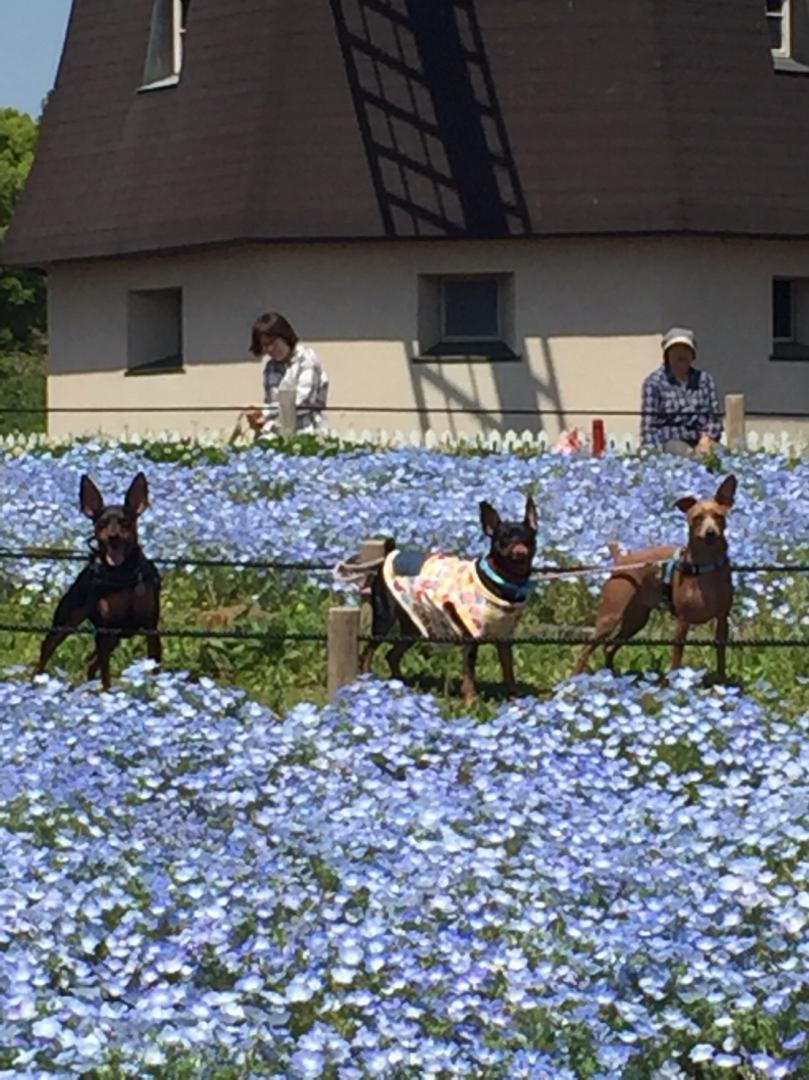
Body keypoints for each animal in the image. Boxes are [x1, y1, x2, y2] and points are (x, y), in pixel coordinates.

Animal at [34, 473, 162, 691]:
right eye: (101, 522)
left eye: (125, 522)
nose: (113, 537)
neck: (122, 574)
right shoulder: (105, 629)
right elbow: (106, 675)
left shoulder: (150, 627)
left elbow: (153, 667)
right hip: (66, 620)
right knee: (47, 648)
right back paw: (35, 682)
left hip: (115, 636)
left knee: (91, 663)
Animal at [360, 494, 535, 699]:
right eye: (503, 538)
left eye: (529, 538)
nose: (518, 545)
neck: (504, 580)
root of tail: (390, 554)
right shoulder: (470, 637)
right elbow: (469, 675)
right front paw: (471, 701)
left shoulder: (504, 638)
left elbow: (508, 670)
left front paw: (514, 697)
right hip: (384, 620)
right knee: (367, 652)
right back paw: (367, 681)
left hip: (413, 626)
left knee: (392, 655)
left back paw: (401, 685)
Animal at [570, 477, 734, 678]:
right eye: (697, 518)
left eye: (719, 517)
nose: (710, 533)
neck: (705, 567)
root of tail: (621, 560)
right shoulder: (682, 622)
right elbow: (676, 660)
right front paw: (674, 681)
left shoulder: (722, 621)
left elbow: (721, 656)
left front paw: (722, 680)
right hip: (610, 617)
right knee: (585, 649)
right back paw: (575, 680)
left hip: (635, 620)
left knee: (609, 647)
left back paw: (614, 676)